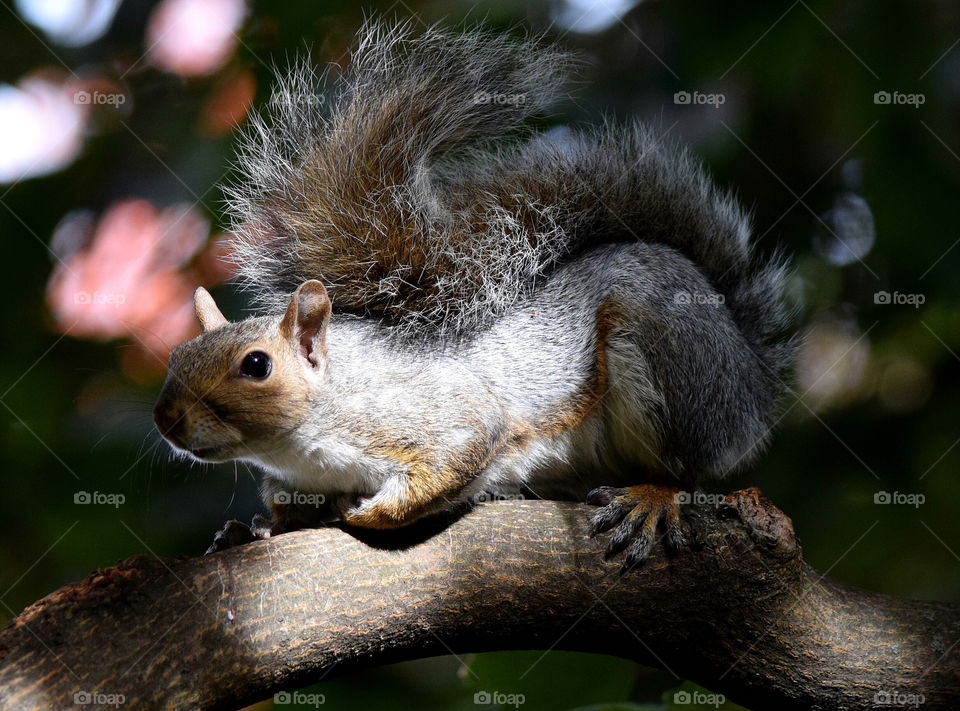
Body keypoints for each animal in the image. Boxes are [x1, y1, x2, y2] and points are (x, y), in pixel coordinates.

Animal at [153, 20, 795, 566]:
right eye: (175, 356)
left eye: (256, 365)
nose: (166, 419)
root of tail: (749, 363)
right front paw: (251, 530)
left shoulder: (429, 412)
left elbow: (460, 450)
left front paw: (374, 512)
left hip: (673, 357)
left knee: (688, 464)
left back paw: (654, 496)